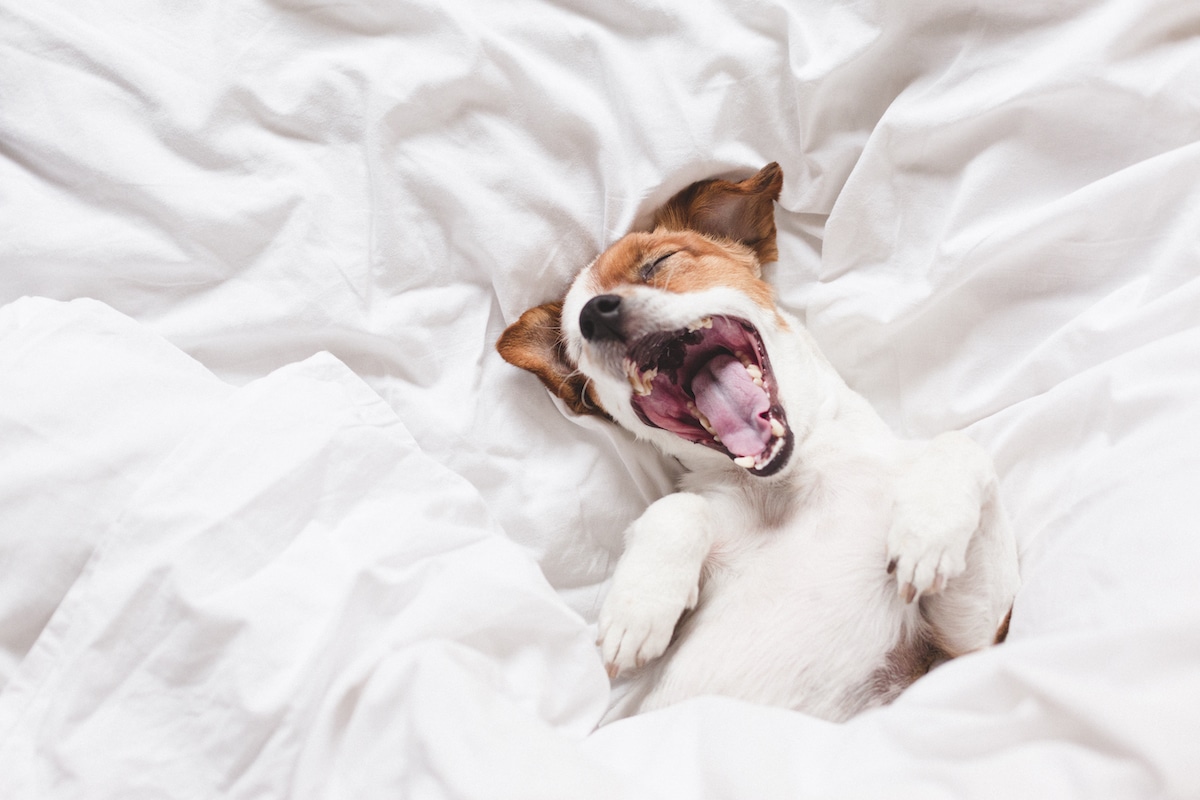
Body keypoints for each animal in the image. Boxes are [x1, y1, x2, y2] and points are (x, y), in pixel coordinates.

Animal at [496, 164, 1022, 724]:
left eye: (659, 262)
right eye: (576, 340)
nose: (595, 314)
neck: (791, 482)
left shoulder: (971, 642)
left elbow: (960, 444)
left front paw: (928, 532)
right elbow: (678, 506)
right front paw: (640, 606)